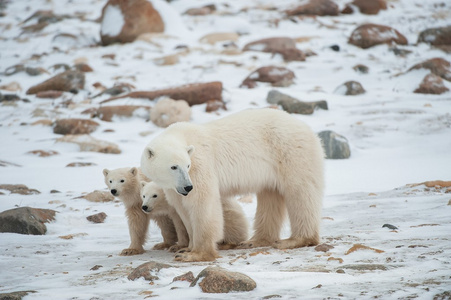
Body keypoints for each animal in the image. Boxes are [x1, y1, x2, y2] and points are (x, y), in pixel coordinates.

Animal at [141, 108, 324, 262]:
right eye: (173, 167)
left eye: (187, 165)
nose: (187, 187)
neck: (182, 135)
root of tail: (305, 126)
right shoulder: (174, 187)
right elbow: (183, 210)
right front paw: (186, 248)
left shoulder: (201, 165)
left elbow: (202, 203)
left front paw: (195, 254)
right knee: (270, 196)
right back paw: (256, 240)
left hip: (291, 152)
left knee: (301, 192)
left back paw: (295, 240)